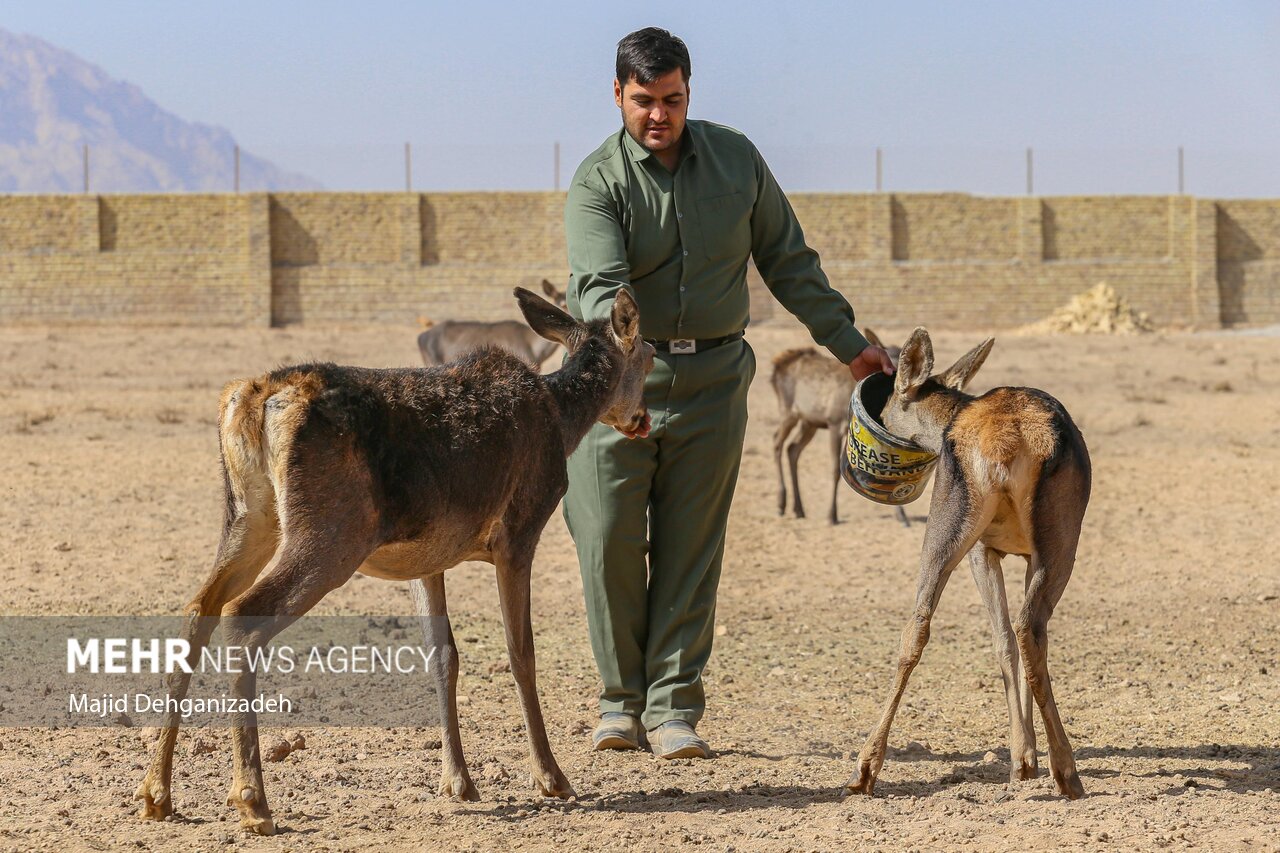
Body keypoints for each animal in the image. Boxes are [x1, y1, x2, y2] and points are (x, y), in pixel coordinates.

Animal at [136, 289, 655, 835]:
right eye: (649, 356)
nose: (642, 418)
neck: (561, 419)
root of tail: (256, 399)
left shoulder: (429, 556)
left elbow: (444, 655)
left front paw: (458, 781)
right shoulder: (520, 529)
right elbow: (520, 653)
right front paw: (552, 779)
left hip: (249, 518)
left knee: (200, 608)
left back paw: (156, 792)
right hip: (330, 533)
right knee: (242, 614)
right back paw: (251, 800)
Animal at [844, 325, 1095, 799]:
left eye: (889, 402)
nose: (880, 416)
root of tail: (1007, 439)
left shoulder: (996, 551)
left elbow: (1003, 640)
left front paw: (1024, 758)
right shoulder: (992, 550)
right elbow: (1005, 639)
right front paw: (1024, 760)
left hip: (955, 524)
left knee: (924, 624)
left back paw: (864, 771)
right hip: (1055, 541)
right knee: (1025, 627)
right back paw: (1065, 770)